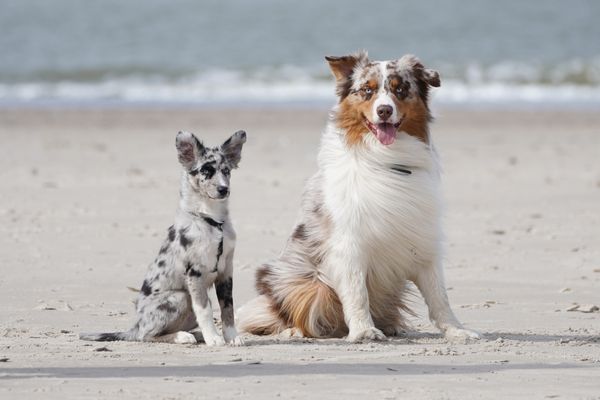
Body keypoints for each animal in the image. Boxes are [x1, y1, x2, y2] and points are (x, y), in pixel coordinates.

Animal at [80, 130, 246, 344]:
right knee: (147, 335)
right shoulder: (195, 273)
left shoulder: (226, 271)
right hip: (180, 297)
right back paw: (183, 337)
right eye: (206, 171)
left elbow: (228, 309)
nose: (224, 189)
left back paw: (196, 334)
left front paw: (232, 337)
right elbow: (205, 310)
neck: (212, 221)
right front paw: (214, 338)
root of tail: (134, 327)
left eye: (226, 171)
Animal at [237, 51, 480, 342]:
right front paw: (364, 330)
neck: (388, 159)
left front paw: (456, 330)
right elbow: (356, 293)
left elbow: (439, 296)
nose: (384, 110)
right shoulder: (349, 246)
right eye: (367, 90)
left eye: (400, 89)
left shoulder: (422, 241)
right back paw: (295, 331)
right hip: (301, 281)